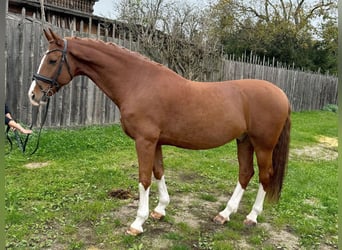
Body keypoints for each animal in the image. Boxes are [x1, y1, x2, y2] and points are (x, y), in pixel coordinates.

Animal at [28, 28, 292, 234]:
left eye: (52, 61)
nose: (33, 94)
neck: (138, 82)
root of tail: (281, 93)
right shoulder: (155, 142)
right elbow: (158, 172)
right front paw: (160, 209)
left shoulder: (144, 141)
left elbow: (144, 179)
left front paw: (137, 223)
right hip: (244, 140)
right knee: (245, 173)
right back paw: (225, 214)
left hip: (263, 145)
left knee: (265, 176)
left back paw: (252, 217)